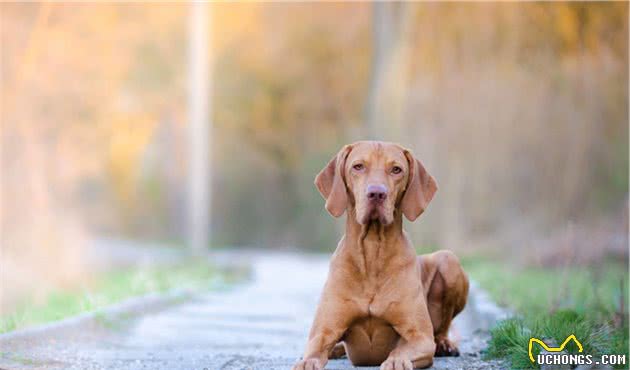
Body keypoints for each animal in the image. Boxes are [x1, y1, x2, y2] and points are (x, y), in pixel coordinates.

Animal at [294, 140, 472, 368]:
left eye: (396, 169)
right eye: (358, 166)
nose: (377, 193)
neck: (372, 251)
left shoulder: (420, 337)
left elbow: (402, 349)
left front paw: (396, 361)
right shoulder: (323, 333)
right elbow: (313, 353)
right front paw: (306, 362)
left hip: (448, 260)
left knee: (442, 329)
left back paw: (444, 344)